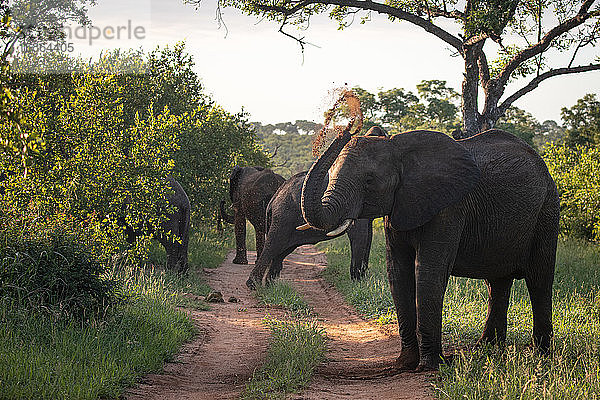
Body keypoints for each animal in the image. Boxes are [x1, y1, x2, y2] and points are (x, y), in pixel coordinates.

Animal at [246, 126, 386, 290]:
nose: (347, 131)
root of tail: (274, 199)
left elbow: (367, 234)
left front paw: (362, 281)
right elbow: (360, 233)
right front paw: (358, 284)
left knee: (280, 253)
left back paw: (270, 286)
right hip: (283, 217)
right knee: (273, 245)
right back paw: (254, 286)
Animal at [302, 127, 560, 372]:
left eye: (369, 181)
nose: (347, 127)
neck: (398, 148)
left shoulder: (450, 207)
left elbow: (428, 271)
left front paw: (428, 366)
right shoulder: (397, 209)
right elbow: (398, 272)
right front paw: (404, 364)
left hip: (547, 209)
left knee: (539, 279)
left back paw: (540, 354)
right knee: (497, 283)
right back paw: (486, 348)